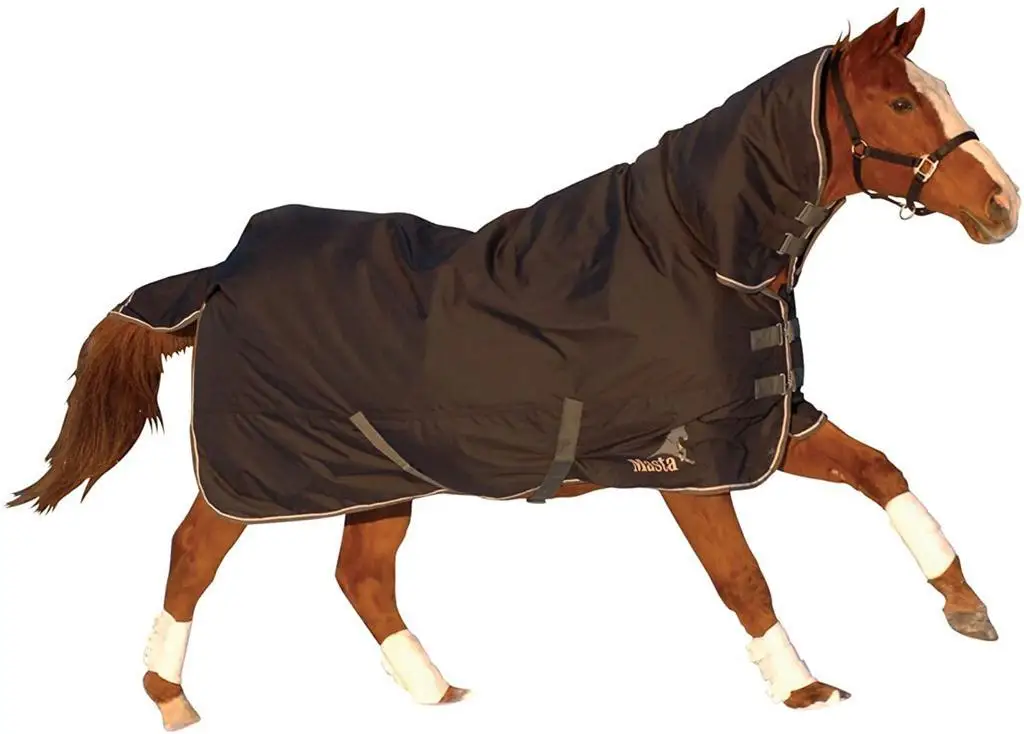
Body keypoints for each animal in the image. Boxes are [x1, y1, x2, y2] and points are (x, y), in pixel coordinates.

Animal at [6, 8, 1019, 730]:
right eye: (900, 104)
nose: (1002, 207)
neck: (700, 251)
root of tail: (220, 271)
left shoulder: (770, 423)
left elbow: (881, 471)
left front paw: (966, 607)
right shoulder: (684, 462)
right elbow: (744, 577)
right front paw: (803, 688)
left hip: (378, 476)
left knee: (361, 577)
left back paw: (435, 690)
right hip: (259, 474)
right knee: (192, 553)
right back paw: (171, 697)